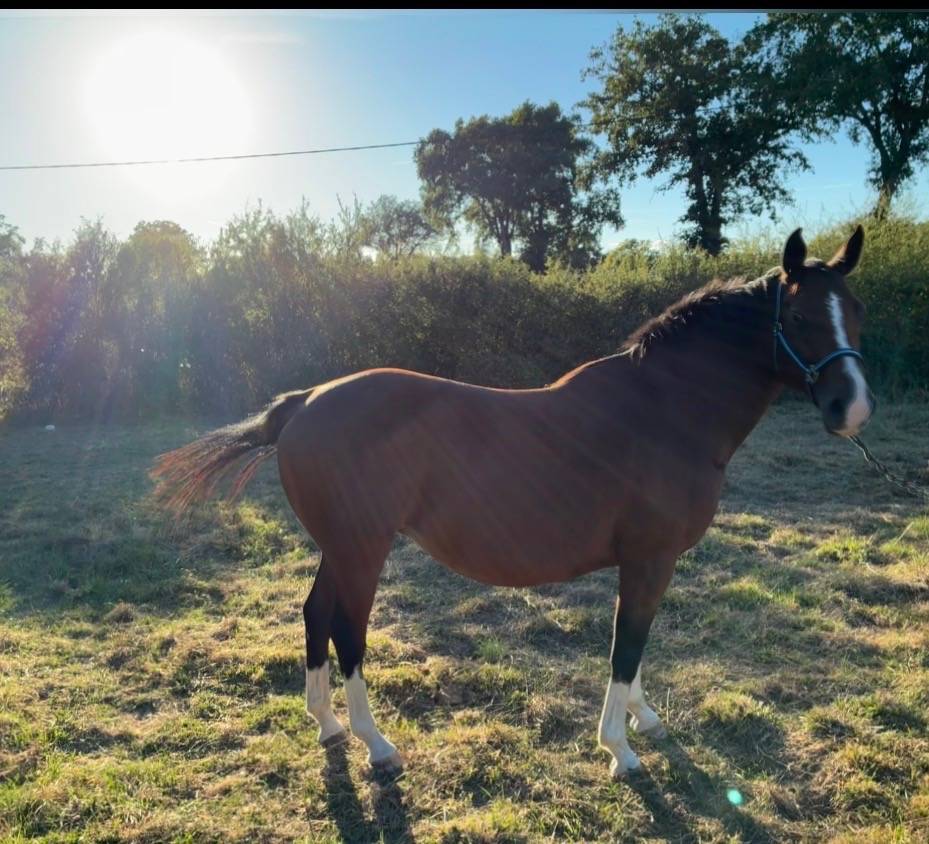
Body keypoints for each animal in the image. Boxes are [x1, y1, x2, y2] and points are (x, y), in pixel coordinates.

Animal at [151, 226, 873, 779]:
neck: (665, 409)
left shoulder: (650, 563)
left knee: (314, 615)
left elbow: (637, 643)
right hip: (362, 550)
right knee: (347, 629)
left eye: (855, 311)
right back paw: (376, 743)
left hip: (341, 548)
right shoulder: (649, 558)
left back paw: (327, 723)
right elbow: (627, 645)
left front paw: (644, 718)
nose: (852, 407)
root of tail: (303, 402)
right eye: (800, 317)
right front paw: (619, 749)